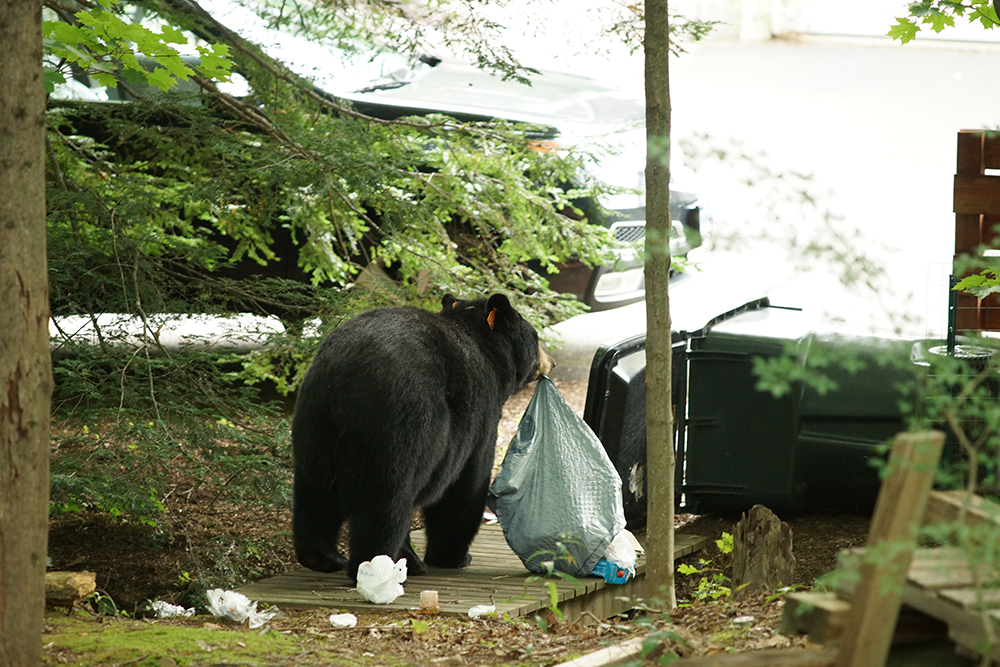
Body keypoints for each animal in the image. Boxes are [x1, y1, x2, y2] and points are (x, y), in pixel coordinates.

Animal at [291, 293, 554, 581]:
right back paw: (377, 566)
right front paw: (453, 556)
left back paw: (322, 557)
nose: (552, 362)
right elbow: (466, 486)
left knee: (314, 495)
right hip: (397, 425)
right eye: (536, 338)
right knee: (386, 501)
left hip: (314, 426)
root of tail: (343, 379)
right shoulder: (479, 415)